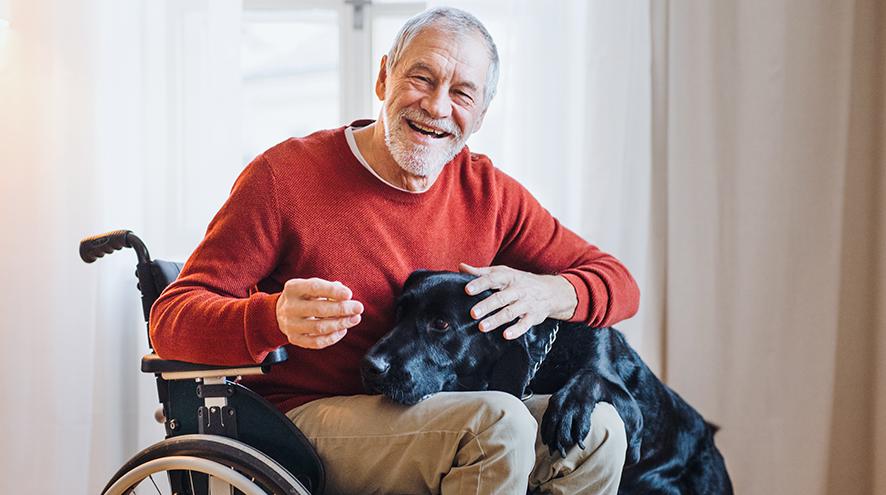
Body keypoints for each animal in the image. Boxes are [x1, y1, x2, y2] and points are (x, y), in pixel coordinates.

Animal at [360, 272, 736, 495]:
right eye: (399, 314)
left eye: (440, 324)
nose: (370, 366)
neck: (548, 358)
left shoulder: (632, 410)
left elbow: (590, 376)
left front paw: (567, 410)